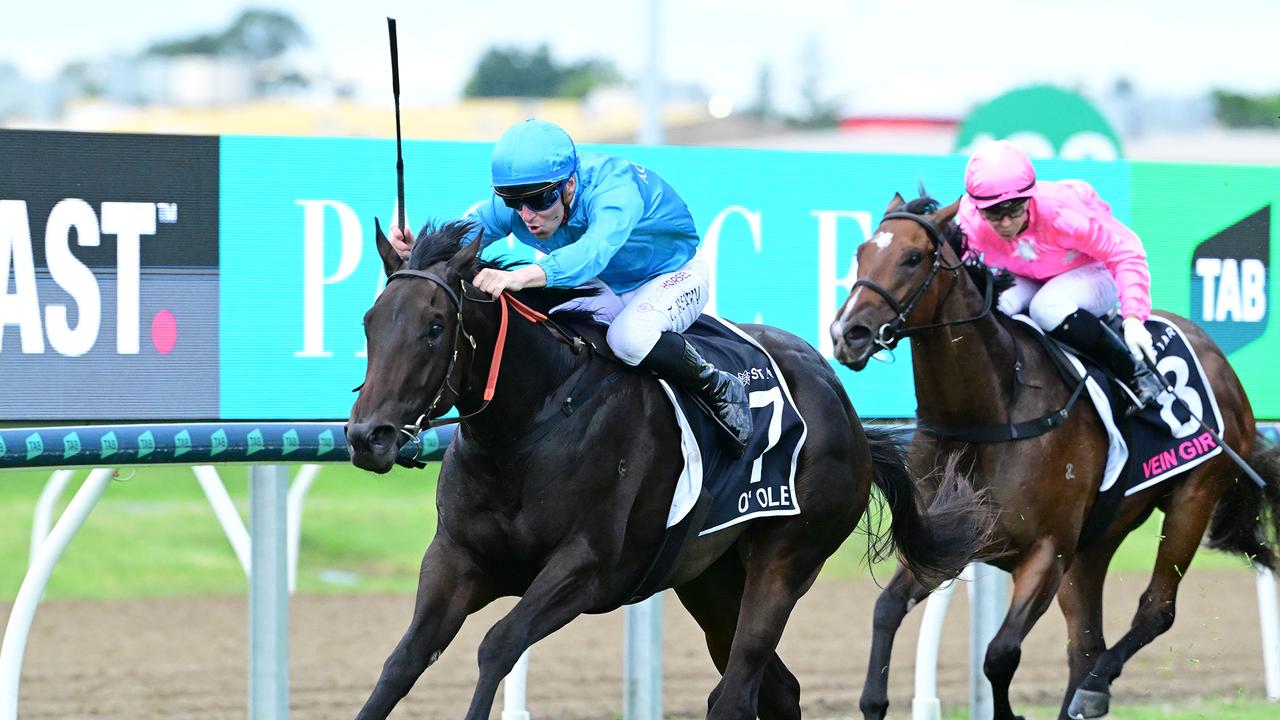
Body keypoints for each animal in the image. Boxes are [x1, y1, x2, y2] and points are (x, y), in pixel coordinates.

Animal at [343, 220, 988, 717]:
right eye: (369, 322)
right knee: (775, 689)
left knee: (736, 693)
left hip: (786, 559)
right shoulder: (456, 559)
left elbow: (497, 647)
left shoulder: (583, 568)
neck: (530, 423)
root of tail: (845, 407)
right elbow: (402, 662)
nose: (367, 437)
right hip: (710, 578)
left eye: (434, 328)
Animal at [824, 192, 1280, 717]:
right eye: (860, 253)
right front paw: (874, 700)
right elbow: (886, 610)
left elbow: (1000, 653)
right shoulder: (947, 541)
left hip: (1193, 497)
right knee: (1086, 643)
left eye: (913, 257)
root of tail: (1220, 361)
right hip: (1094, 544)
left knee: (1153, 611)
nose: (849, 333)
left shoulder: (1046, 552)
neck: (993, 410)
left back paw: (1098, 686)